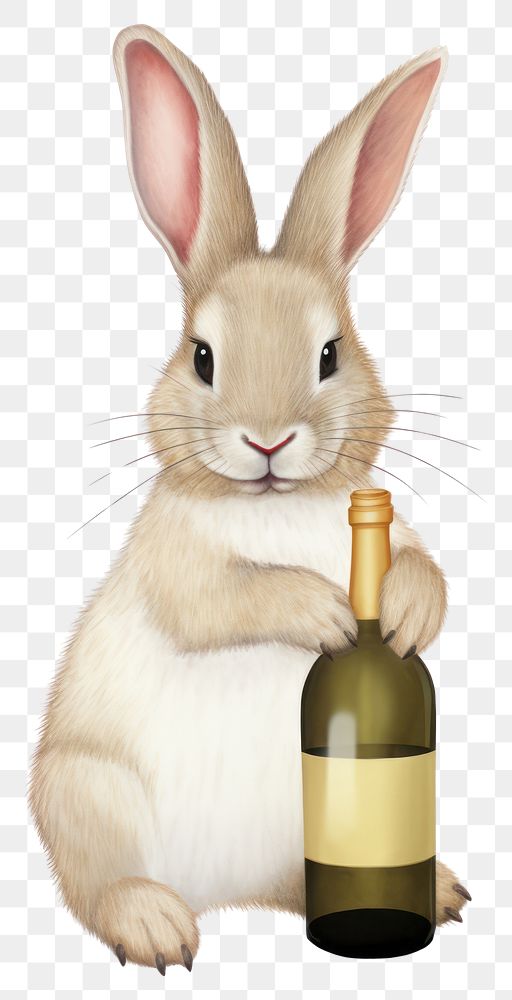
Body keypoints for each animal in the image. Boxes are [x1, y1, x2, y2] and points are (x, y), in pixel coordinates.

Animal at [28, 25, 471, 975]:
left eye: (331, 355)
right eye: (203, 359)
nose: (268, 441)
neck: (277, 504)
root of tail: (215, 893)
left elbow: (423, 565)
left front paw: (404, 617)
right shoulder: (177, 562)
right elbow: (221, 599)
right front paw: (326, 614)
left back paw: (438, 892)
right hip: (85, 791)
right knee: (99, 884)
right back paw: (154, 925)